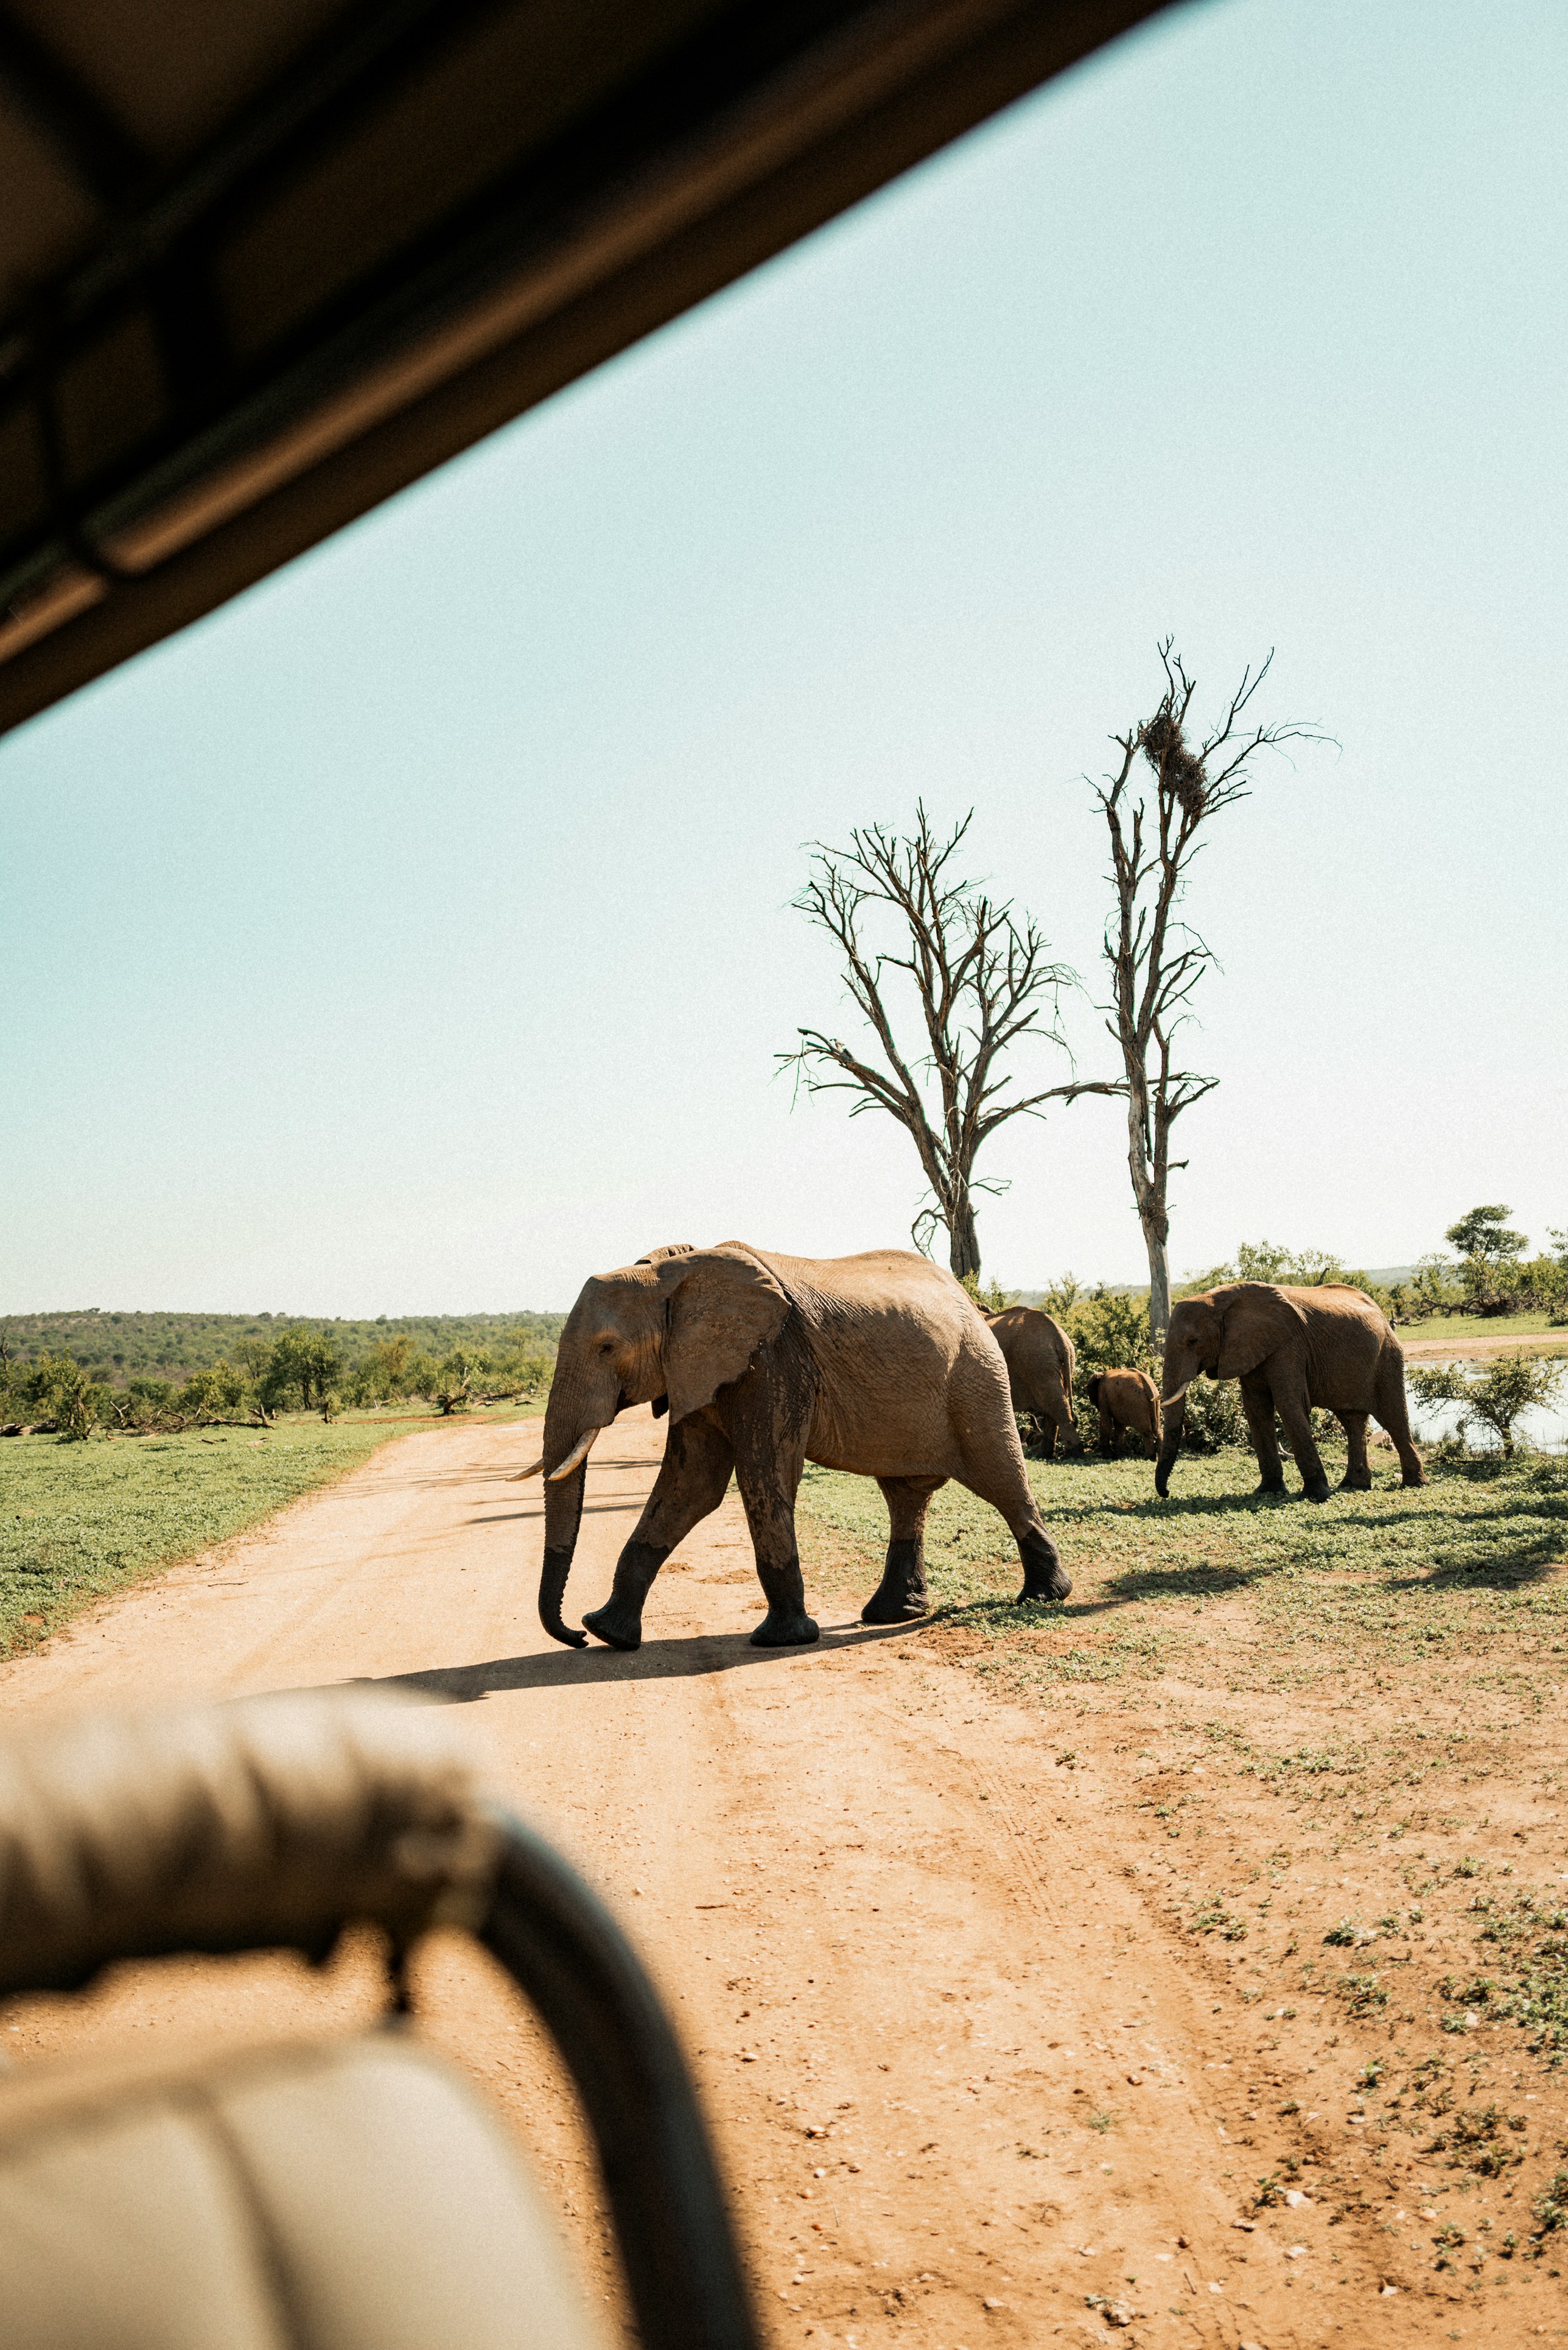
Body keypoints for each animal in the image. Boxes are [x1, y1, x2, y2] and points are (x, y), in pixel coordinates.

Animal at [518, 1242, 1071, 1652]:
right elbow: (691, 1486)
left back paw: (1042, 1598)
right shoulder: (700, 1369)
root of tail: (971, 1304)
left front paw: (782, 1640)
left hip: (977, 1376)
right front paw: (609, 1633)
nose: (573, 1636)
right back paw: (891, 1614)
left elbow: (764, 1475)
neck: (673, 1271)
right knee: (906, 1494)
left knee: (1000, 1475)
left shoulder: (772, 1360)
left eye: (607, 1347)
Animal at [983, 1307, 1084, 1458]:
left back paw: (1074, 1452)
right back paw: (1045, 1453)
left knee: (1056, 1404)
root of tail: (1059, 1337)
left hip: (1039, 1363)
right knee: (1053, 1404)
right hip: (1060, 1364)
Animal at [1085, 1367, 1162, 1457]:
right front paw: (1119, 1456)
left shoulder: (1103, 1395)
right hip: (1156, 1401)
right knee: (1158, 1430)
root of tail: (1148, 1385)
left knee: (1146, 1432)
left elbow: (1106, 1423)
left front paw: (1107, 1456)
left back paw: (1149, 1457)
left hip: (1137, 1403)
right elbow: (1120, 1426)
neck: (1102, 1374)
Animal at [1155, 1282, 1425, 1503]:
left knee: (1393, 1418)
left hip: (1388, 1355)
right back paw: (1353, 1486)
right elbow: (1256, 1411)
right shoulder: (1249, 1349)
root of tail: (1380, 1311)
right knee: (1352, 1421)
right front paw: (1268, 1491)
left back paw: (1413, 1484)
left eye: (1192, 1341)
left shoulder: (1288, 1346)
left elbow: (1289, 1405)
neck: (1219, 1300)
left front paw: (1316, 1496)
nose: (1167, 1493)